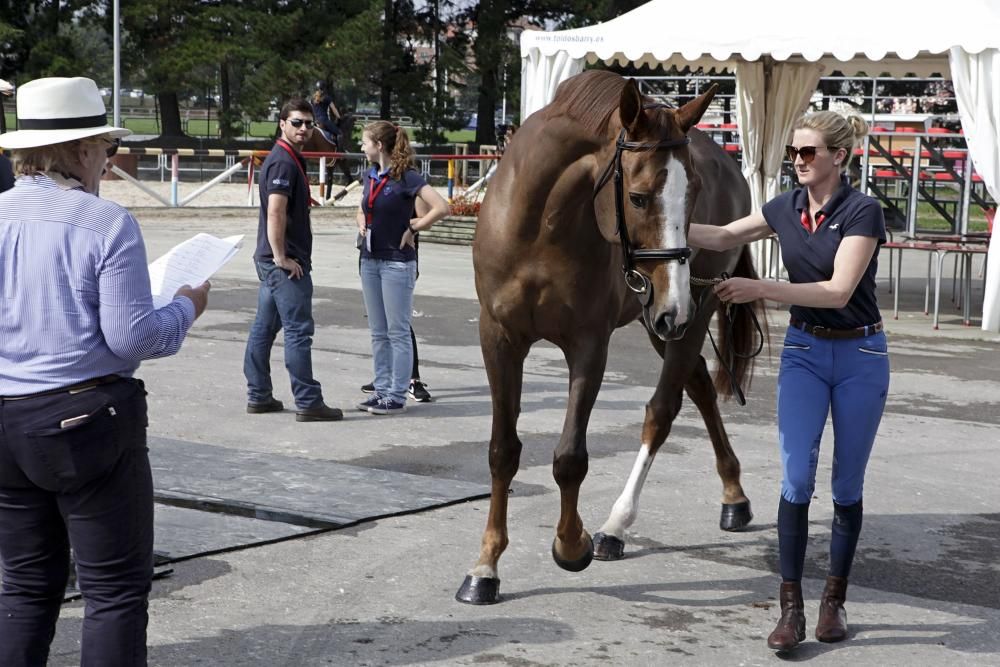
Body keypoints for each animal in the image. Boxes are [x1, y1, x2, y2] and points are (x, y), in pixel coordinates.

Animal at [458, 72, 764, 604]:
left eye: (693, 194)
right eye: (638, 197)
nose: (675, 305)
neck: (541, 226)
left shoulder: (589, 345)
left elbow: (569, 457)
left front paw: (571, 543)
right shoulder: (498, 338)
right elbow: (503, 451)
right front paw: (486, 566)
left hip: (689, 316)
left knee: (663, 409)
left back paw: (615, 526)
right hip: (661, 324)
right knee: (701, 388)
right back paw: (734, 495)